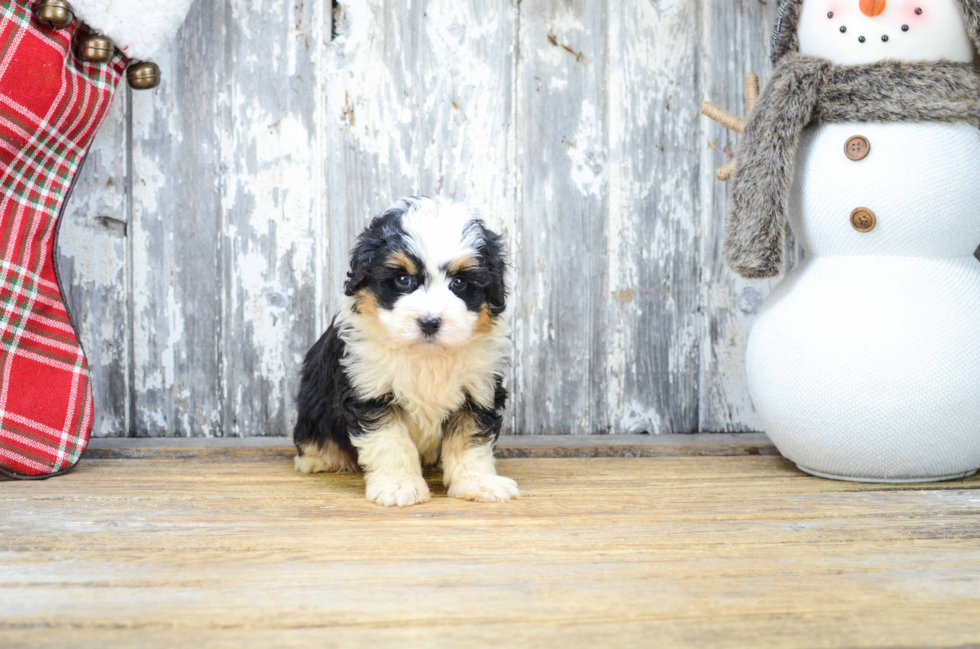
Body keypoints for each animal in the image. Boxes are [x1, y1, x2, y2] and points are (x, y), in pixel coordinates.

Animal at [292, 196, 516, 506]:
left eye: (459, 283)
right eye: (403, 280)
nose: (430, 322)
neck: (426, 355)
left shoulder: (478, 390)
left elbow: (470, 441)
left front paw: (478, 483)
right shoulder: (370, 390)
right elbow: (391, 442)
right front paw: (399, 486)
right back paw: (320, 459)